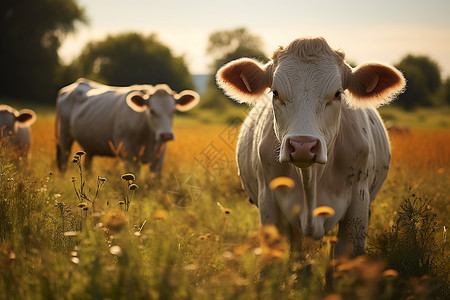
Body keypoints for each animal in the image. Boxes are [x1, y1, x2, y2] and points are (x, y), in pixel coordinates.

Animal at [55, 78, 199, 172]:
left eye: (174, 111)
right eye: (152, 111)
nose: (166, 135)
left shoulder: (159, 155)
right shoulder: (127, 153)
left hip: (89, 145)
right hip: (64, 137)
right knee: (63, 162)